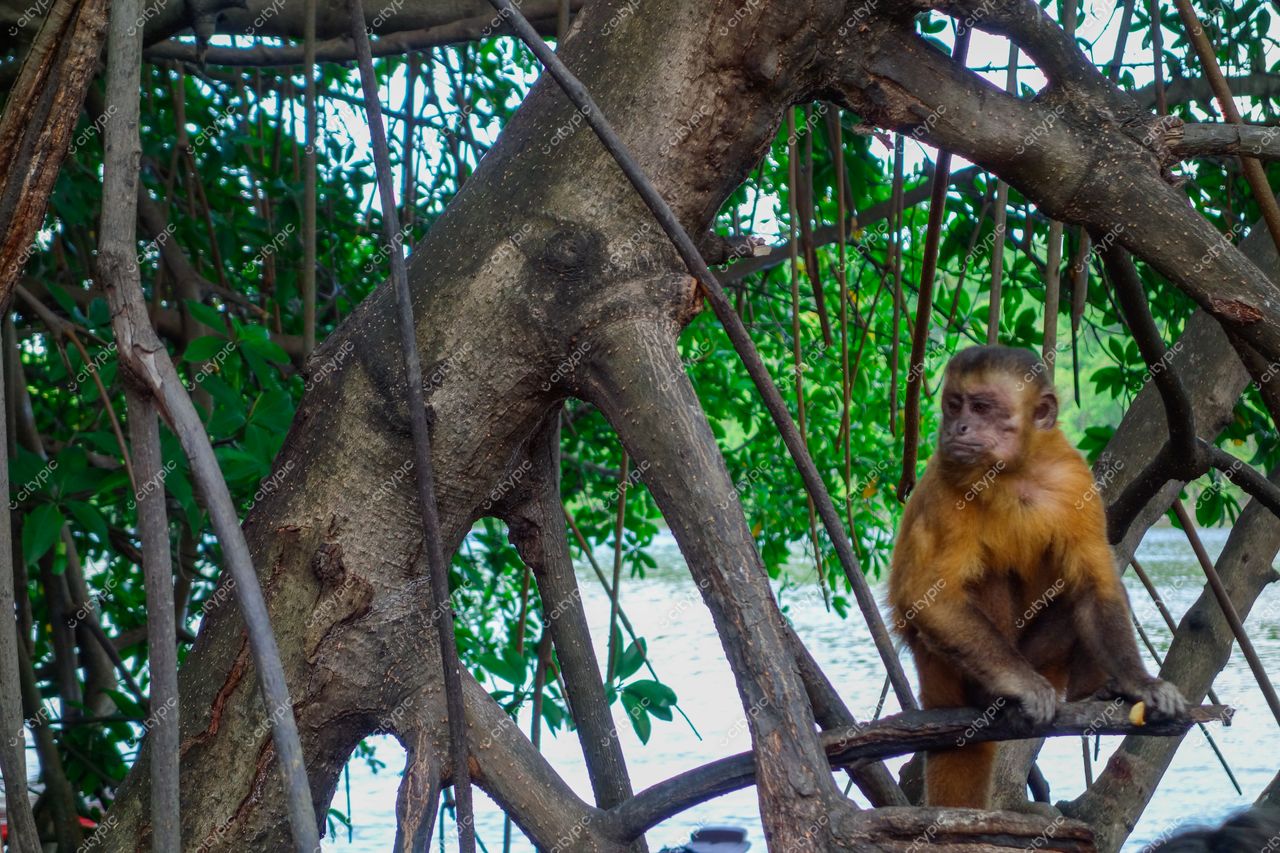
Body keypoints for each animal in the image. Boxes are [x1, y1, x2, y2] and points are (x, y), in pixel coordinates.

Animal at [888, 345, 1186, 809]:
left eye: (981, 407)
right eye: (954, 405)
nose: (957, 427)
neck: (1014, 472)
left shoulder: (1074, 475)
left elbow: (1094, 584)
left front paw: (1139, 684)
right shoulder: (946, 480)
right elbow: (927, 595)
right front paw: (1021, 686)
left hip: (1044, 659)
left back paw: (1094, 692)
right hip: (941, 666)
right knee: (983, 577)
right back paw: (991, 697)